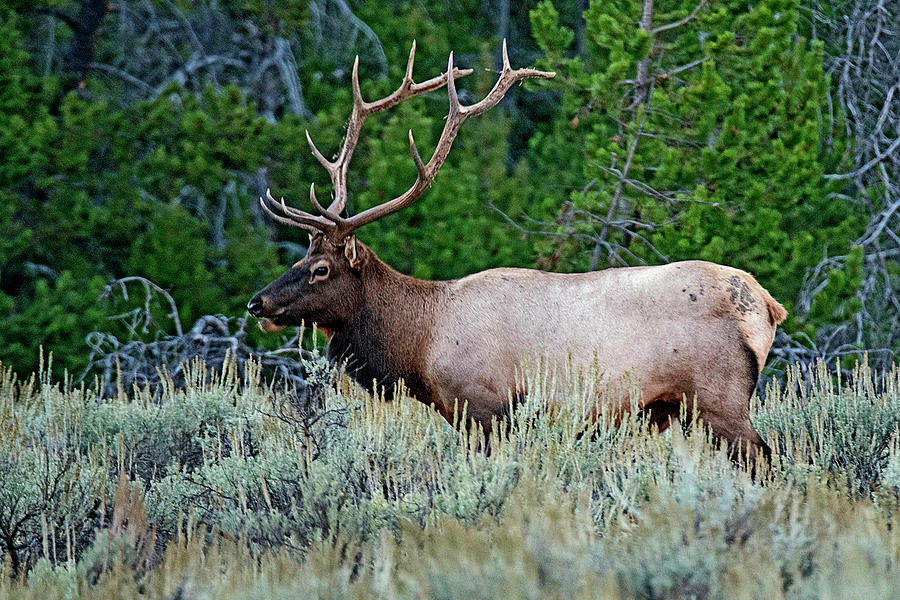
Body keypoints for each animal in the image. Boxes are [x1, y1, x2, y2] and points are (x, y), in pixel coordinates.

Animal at [248, 42, 788, 462]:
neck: (421, 341)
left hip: (719, 399)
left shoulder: (485, 408)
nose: (258, 302)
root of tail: (767, 305)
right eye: (298, 258)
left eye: (320, 268)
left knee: (766, 461)